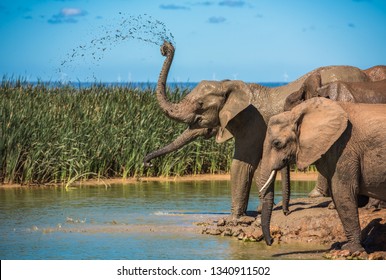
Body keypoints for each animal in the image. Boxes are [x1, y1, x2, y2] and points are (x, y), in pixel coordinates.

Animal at [145, 40, 382, 219]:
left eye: (200, 105)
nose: (165, 46)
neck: (228, 85)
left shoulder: (251, 121)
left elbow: (243, 164)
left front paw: (235, 219)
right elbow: (258, 166)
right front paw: (257, 212)